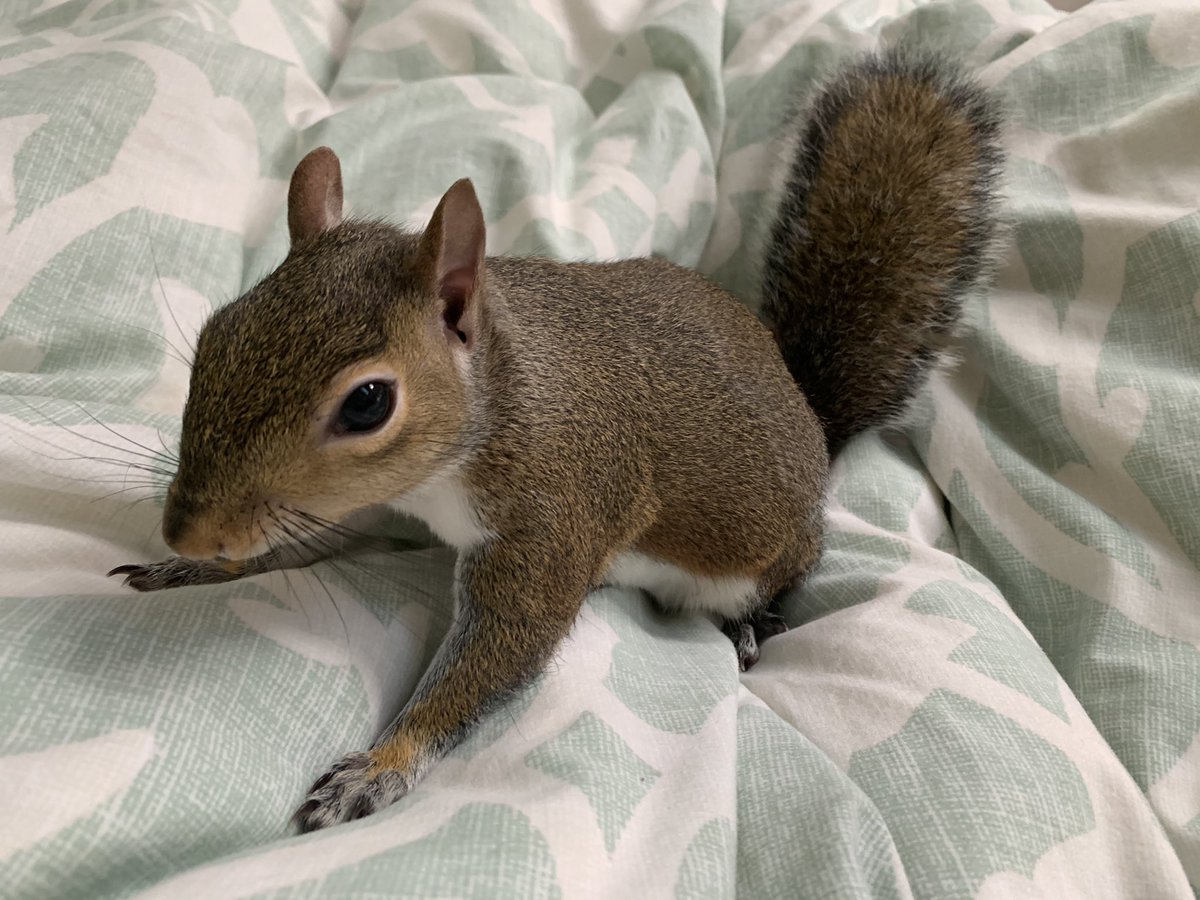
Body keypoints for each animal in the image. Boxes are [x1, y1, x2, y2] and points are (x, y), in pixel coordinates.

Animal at [108, 47, 1003, 832]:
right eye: (218, 331)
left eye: (367, 403)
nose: (187, 529)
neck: (490, 408)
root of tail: (808, 411)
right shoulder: (385, 499)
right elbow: (310, 533)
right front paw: (198, 568)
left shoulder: (552, 514)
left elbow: (504, 645)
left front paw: (379, 768)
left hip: (764, 556)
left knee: (778, 583)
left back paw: (752, 625)